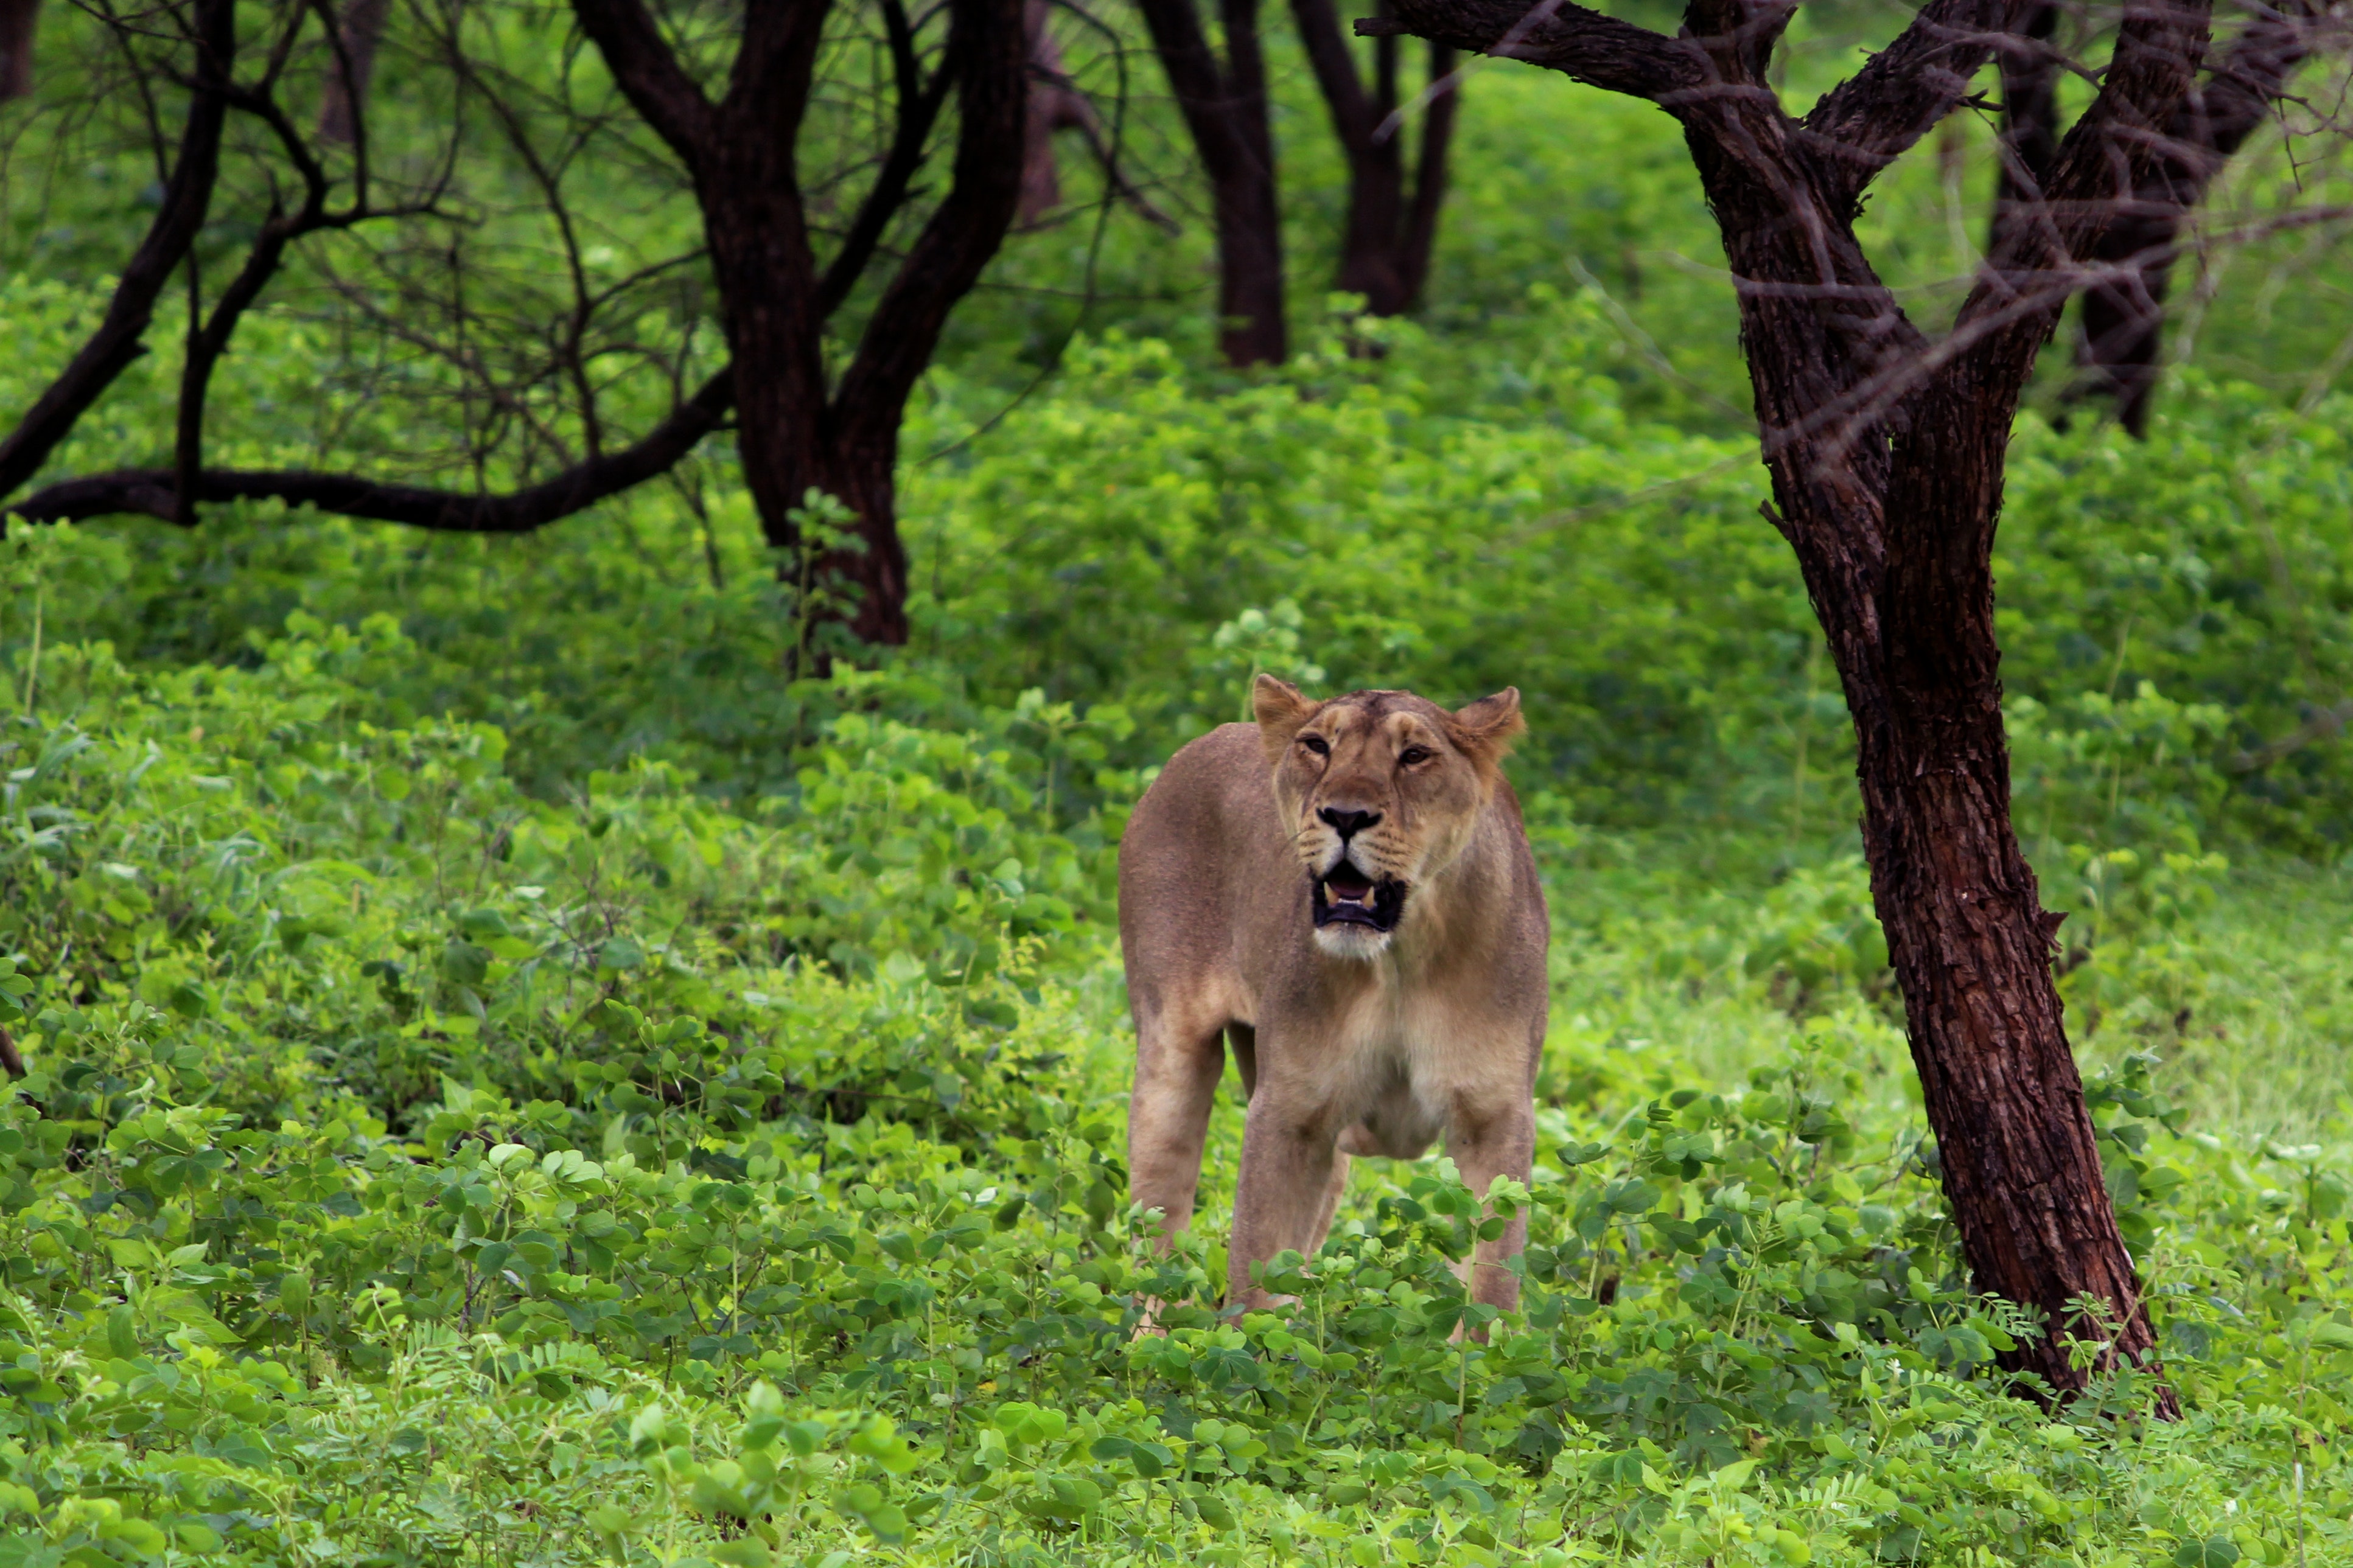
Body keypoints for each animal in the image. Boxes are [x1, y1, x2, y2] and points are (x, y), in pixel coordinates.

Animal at [1119, 674, 1549, 1313]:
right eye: (1318, 746)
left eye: (1415, 755)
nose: (1345, 816)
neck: (1401, 960)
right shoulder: (1289, 1113)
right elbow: (1256, 1281)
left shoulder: (1494, 1115)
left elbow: (1490, 1285)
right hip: (1171, 1058)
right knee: (1158, 1245)